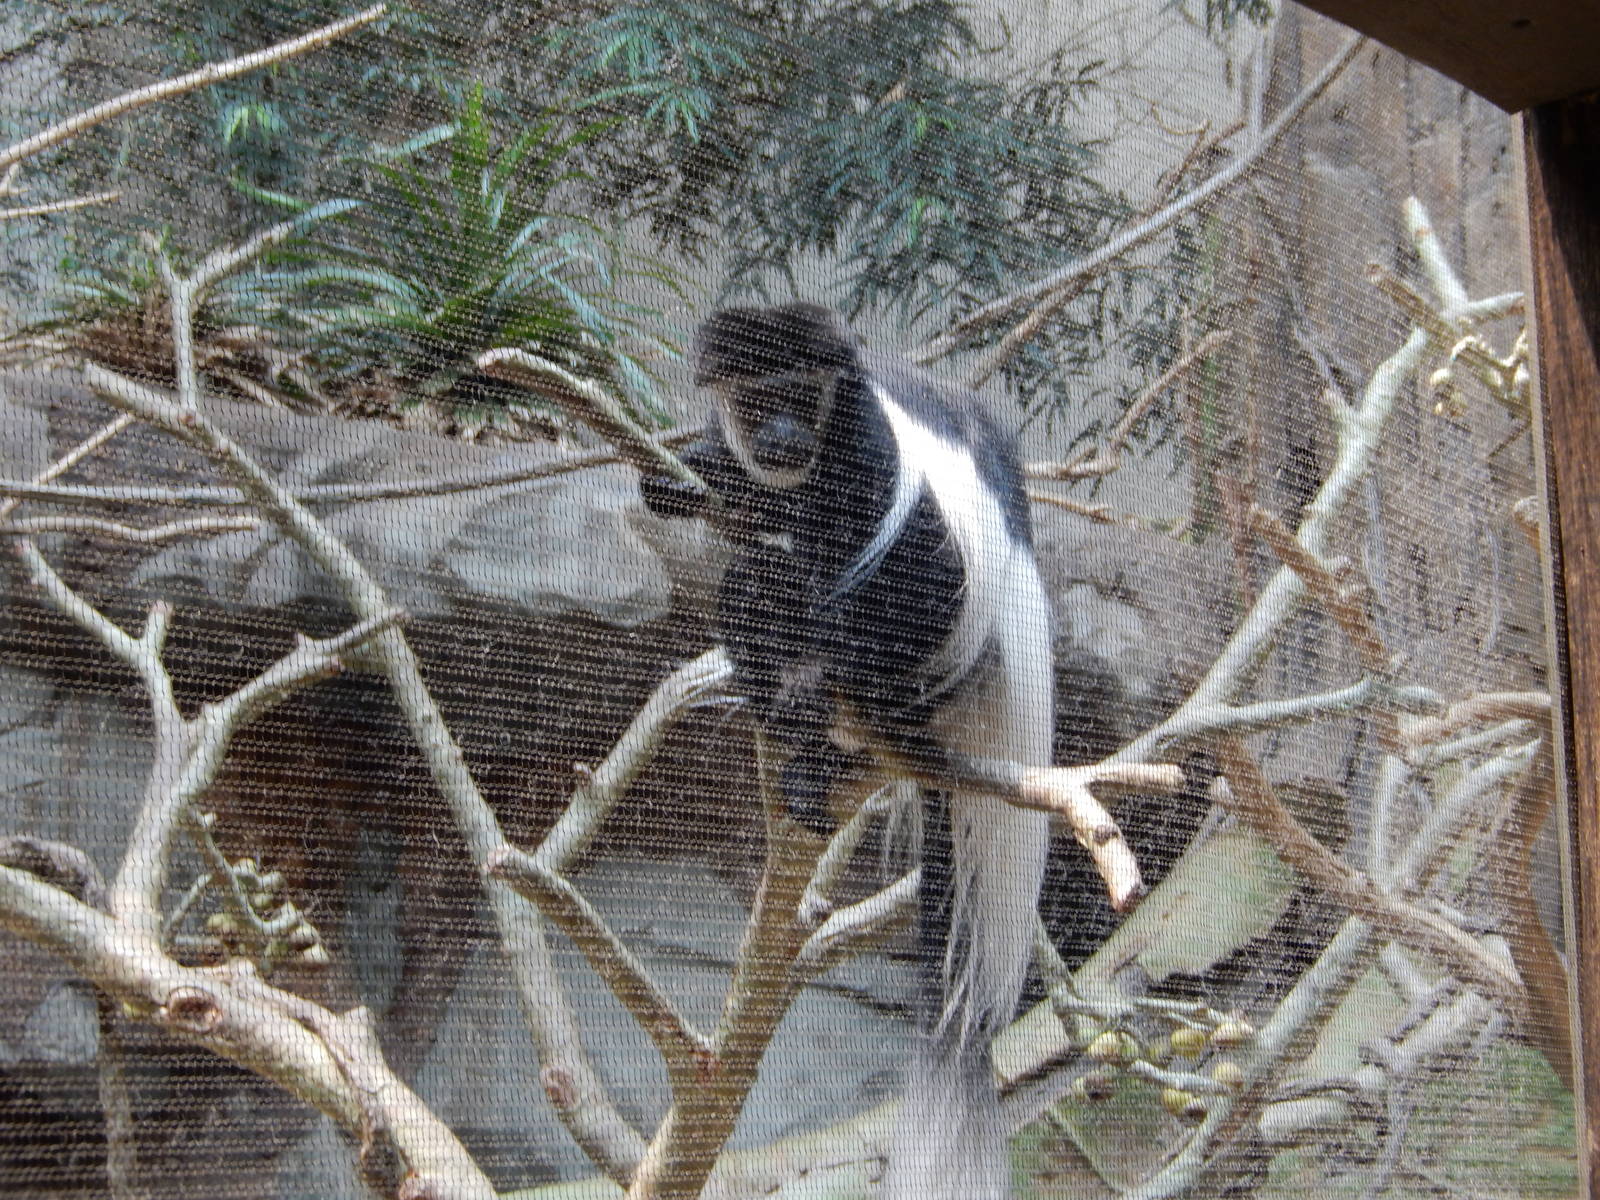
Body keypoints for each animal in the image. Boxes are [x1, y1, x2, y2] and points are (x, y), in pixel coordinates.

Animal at [640, 303, 1052, 1200]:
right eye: (759, 401)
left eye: (802, 395)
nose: (784, 435)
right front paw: (688, 473)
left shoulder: (866, 441)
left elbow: (921, 564)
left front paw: (813, 671)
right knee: (752, 580)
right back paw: (792, 736)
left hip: (930, 673)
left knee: (845, 574)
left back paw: (816, 712)